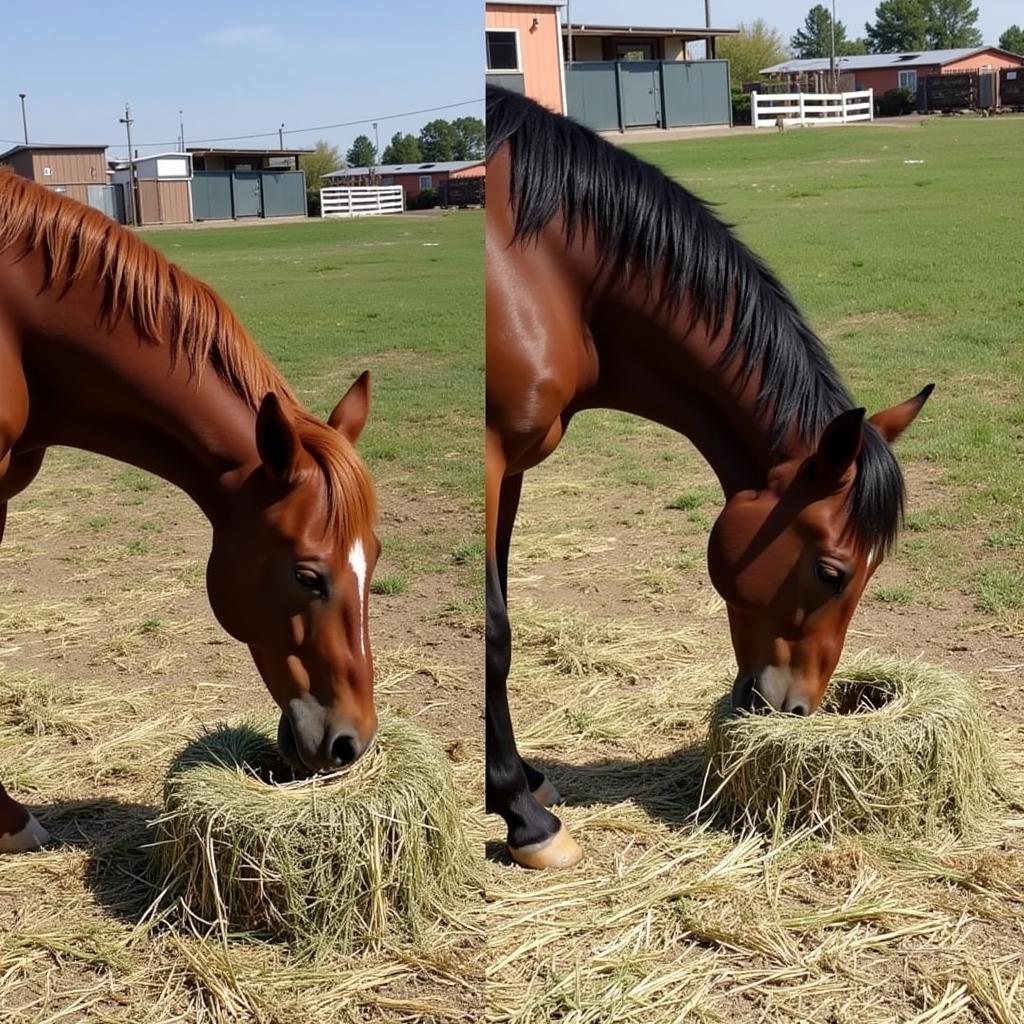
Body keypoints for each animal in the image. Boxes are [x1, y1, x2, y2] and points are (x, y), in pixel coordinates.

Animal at [483, 90, 933, 872]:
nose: (798, 710)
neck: (544, 270)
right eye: (832, 572)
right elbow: (494, 632)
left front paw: (526, 782)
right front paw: (524, 816)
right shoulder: (486, 457)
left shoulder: (512, 468)